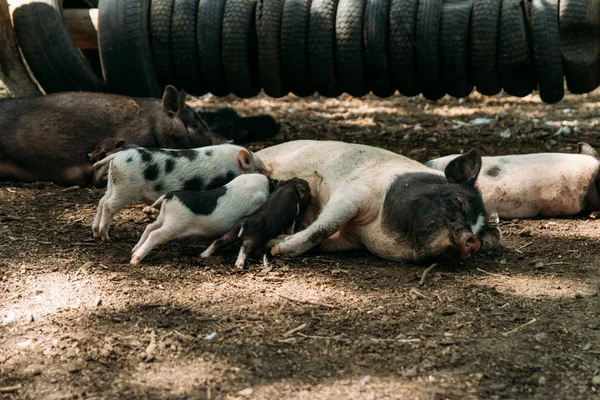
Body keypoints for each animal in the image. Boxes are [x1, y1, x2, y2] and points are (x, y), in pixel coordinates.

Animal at [91, 145, 268, 242]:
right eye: (260, 169)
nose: (269, 177)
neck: (234, 166)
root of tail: (117, 155)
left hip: (113, 185)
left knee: (101, 202)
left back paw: (95, 232)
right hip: (125, 189)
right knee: (108, 205)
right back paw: (105, 237)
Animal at [132, 175, 274, 266]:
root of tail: (169, 195)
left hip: (164, 217)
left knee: (150, 227)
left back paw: (134, 251)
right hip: (174, 224)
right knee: (155, 234)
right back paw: (134, 260)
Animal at [254, 139, 502, 264]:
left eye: (479, 234)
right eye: (458, 202)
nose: (473, 241)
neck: (371, 231)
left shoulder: (352, 240)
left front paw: (276, 241)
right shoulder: (355, 192)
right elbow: (325, 226)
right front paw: (275, 247)